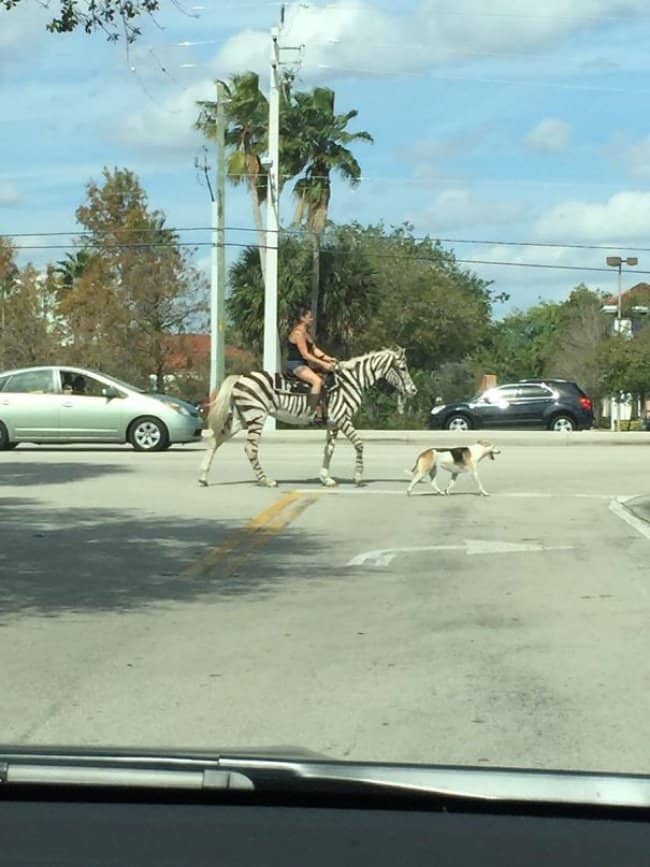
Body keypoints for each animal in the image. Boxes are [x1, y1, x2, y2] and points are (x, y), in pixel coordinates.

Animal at [197, 350, 418, 492]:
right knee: (250, 448)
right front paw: (358, 477)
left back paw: (203, 478)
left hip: (241, 419)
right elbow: (359, 444)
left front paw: (326, 479)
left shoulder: (333, 422)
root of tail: (240, 377)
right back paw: (267, 481)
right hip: (256, 417)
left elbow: (329, 449)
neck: (350, 383)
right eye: (403, 368)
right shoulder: (342, 418)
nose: (414, 391)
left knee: (215, 441)